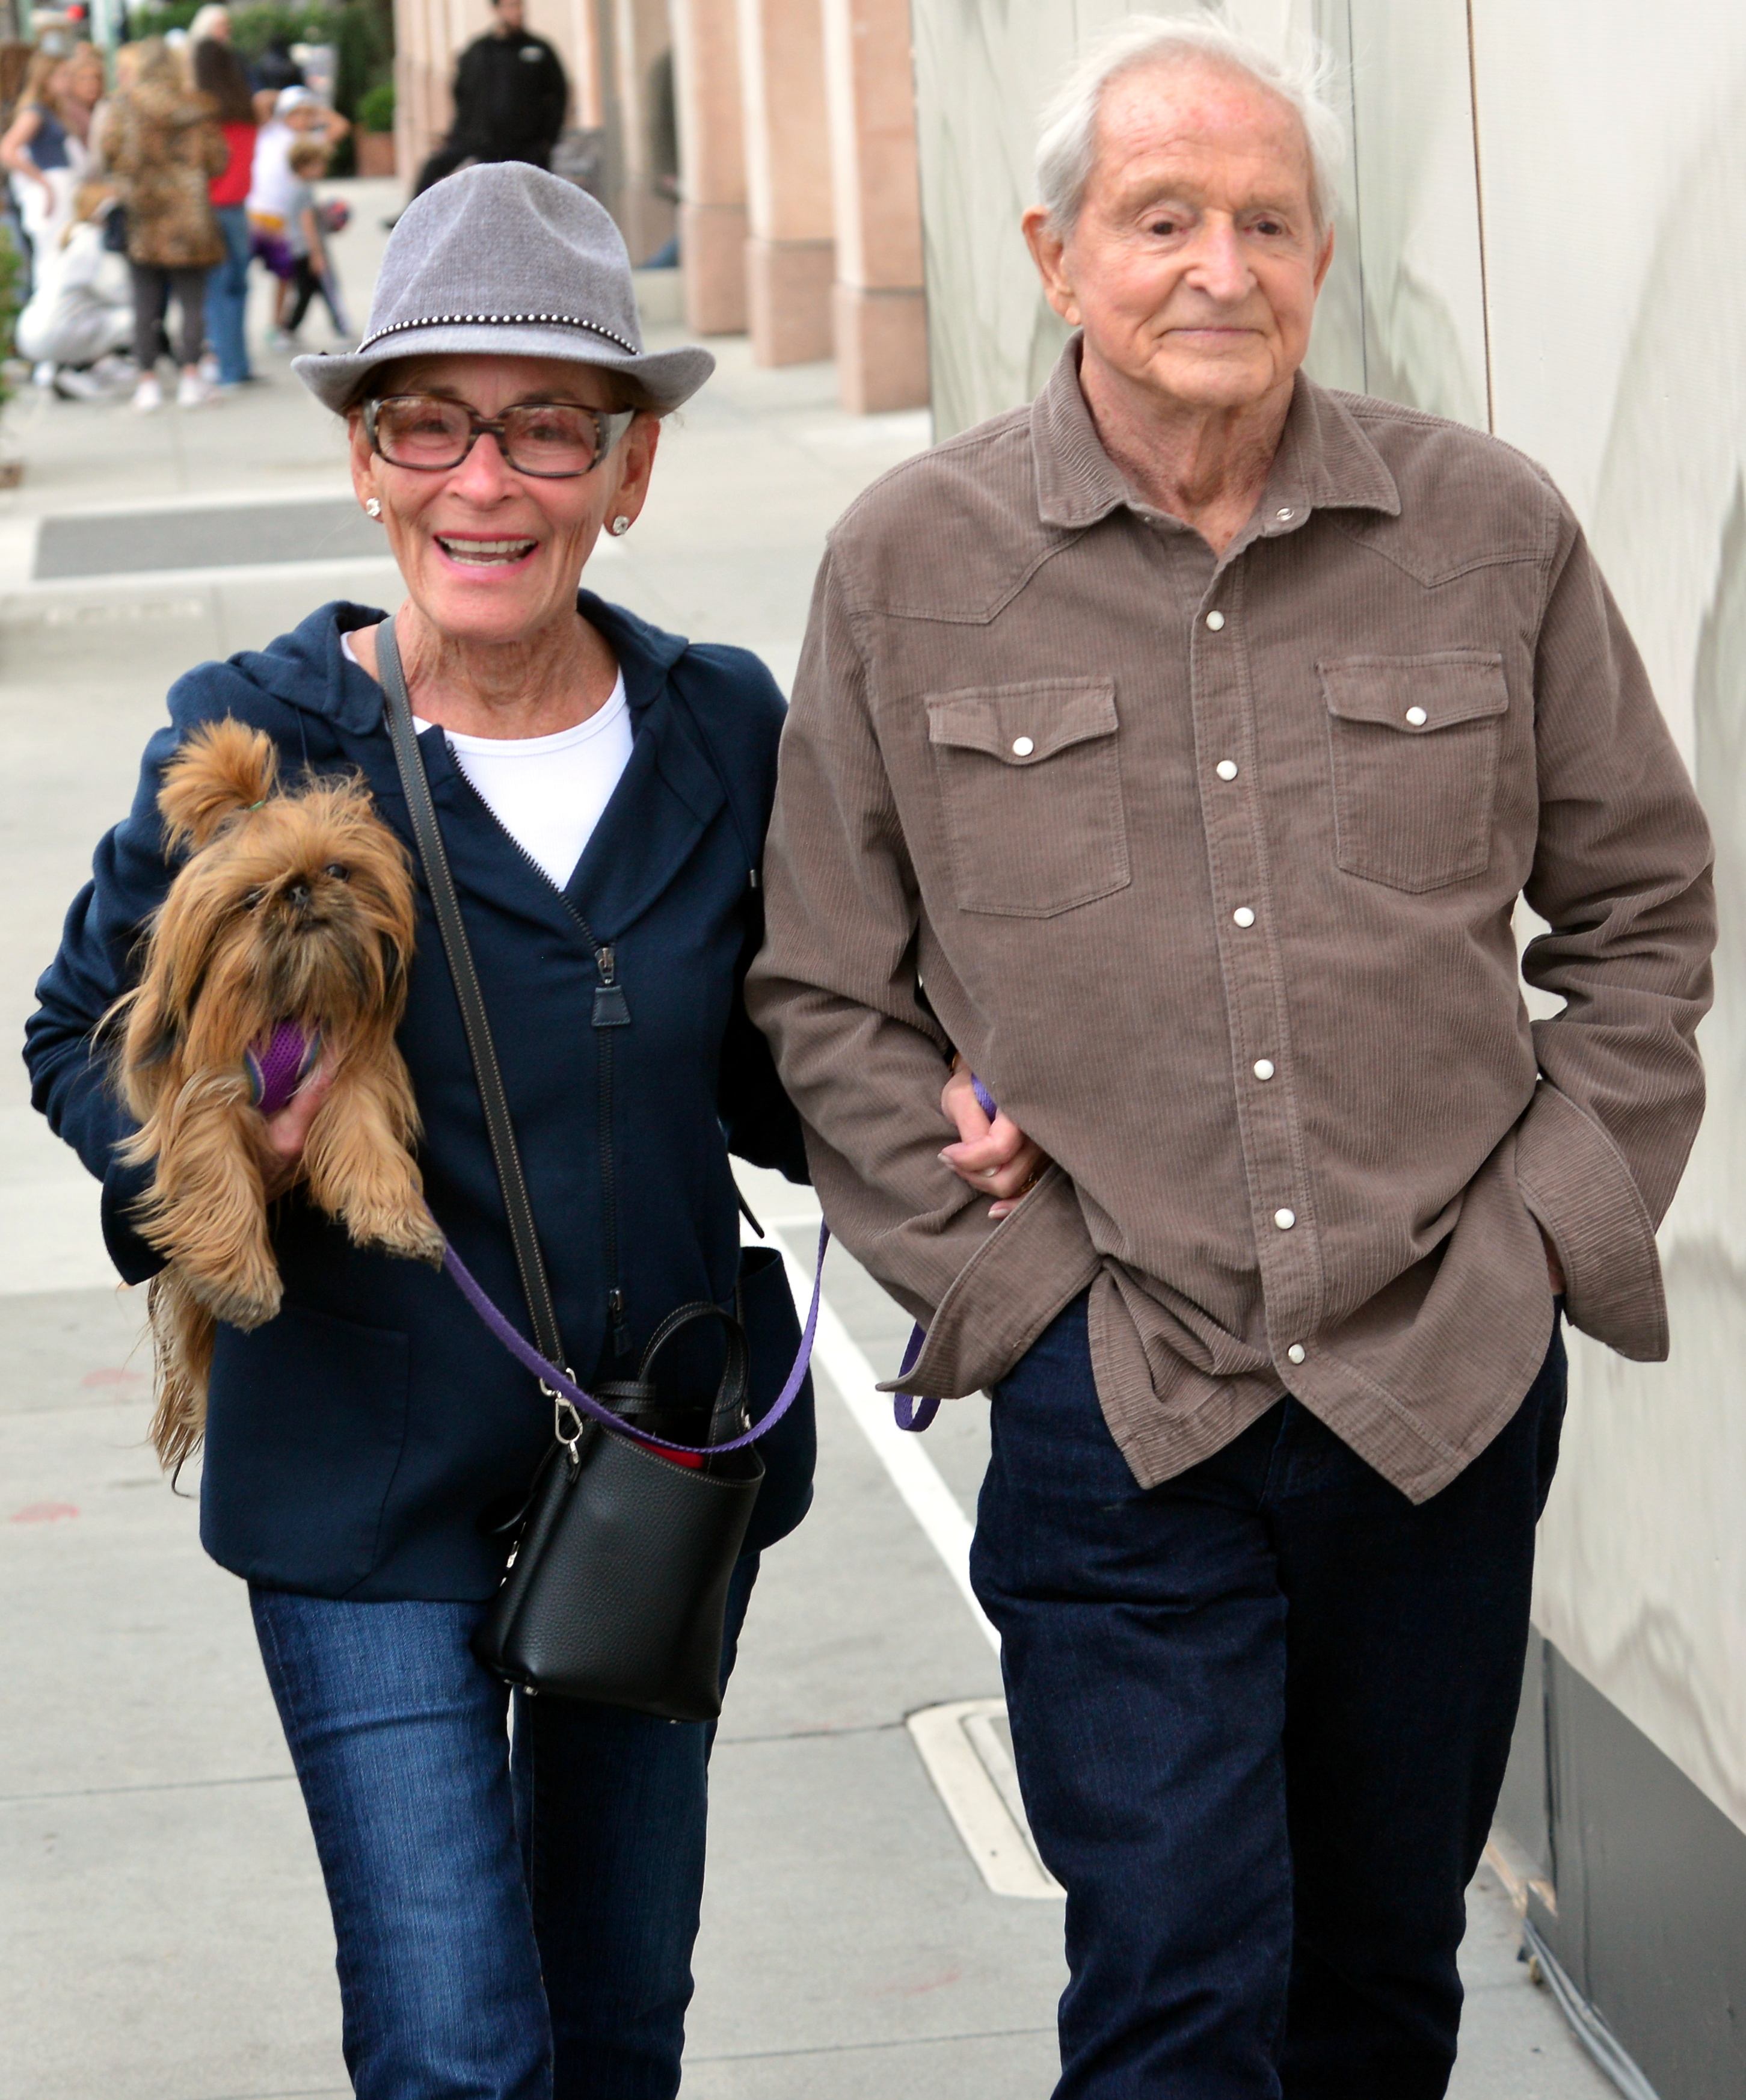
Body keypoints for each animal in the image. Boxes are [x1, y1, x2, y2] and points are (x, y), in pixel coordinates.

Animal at [108, 722, 443, 1478]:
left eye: (339, 870)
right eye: (251, 897)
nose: (298, 890)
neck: (287, 1007)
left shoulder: (348, 1079)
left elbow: (368, 1147)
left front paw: (396, 1216)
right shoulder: (208, 1098)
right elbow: (221, 1180)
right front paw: (240, 1275)